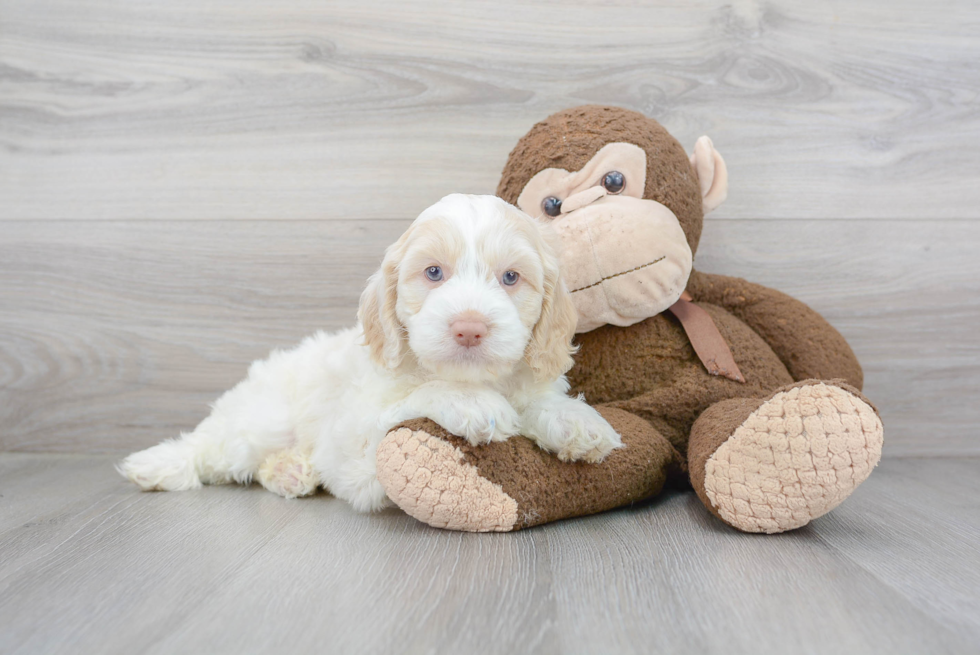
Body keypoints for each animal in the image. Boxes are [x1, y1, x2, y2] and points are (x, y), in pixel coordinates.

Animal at [117, 195, 620, 512]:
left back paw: (289, 471)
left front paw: (577, 421)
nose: (469, 328)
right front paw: (470, 403)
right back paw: (156, 465)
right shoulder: (356, 446)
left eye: (511, 277)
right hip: (260, 422)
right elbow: (409, 403)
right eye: (433, 272)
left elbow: (540, 401)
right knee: (211, 447)